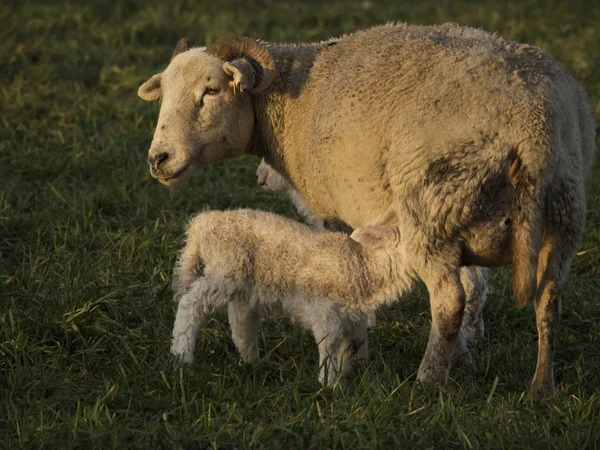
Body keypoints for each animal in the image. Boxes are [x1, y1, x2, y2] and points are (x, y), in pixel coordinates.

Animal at [170, 209, 408, 384]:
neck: (361, 266)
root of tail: (204, 222)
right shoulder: (324, 310)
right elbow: (329, 342)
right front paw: (328, 384)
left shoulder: (354, 317)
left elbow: (353, 345)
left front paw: (348, 375)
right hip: (225, 269)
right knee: (190, 305)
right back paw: (182, 358)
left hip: (244, 279)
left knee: (240, 320)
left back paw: (251, 362)